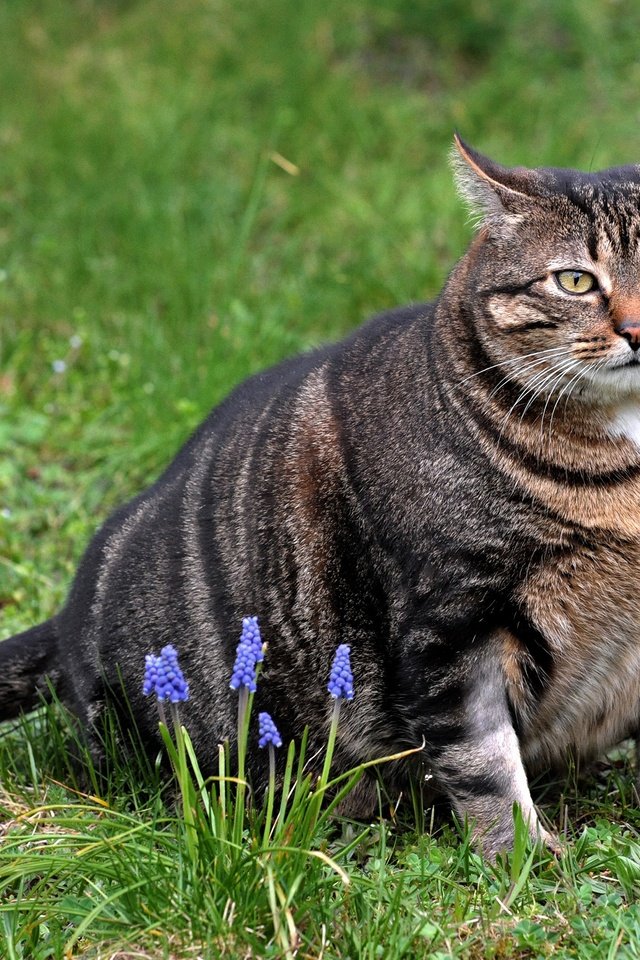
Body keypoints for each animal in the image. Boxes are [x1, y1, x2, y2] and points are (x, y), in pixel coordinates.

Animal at [1, 137, 640, 856]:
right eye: (576, 281)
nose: (636, 329)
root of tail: (65, 619)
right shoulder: (451, 624)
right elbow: (484, 763)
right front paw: (523, 859)